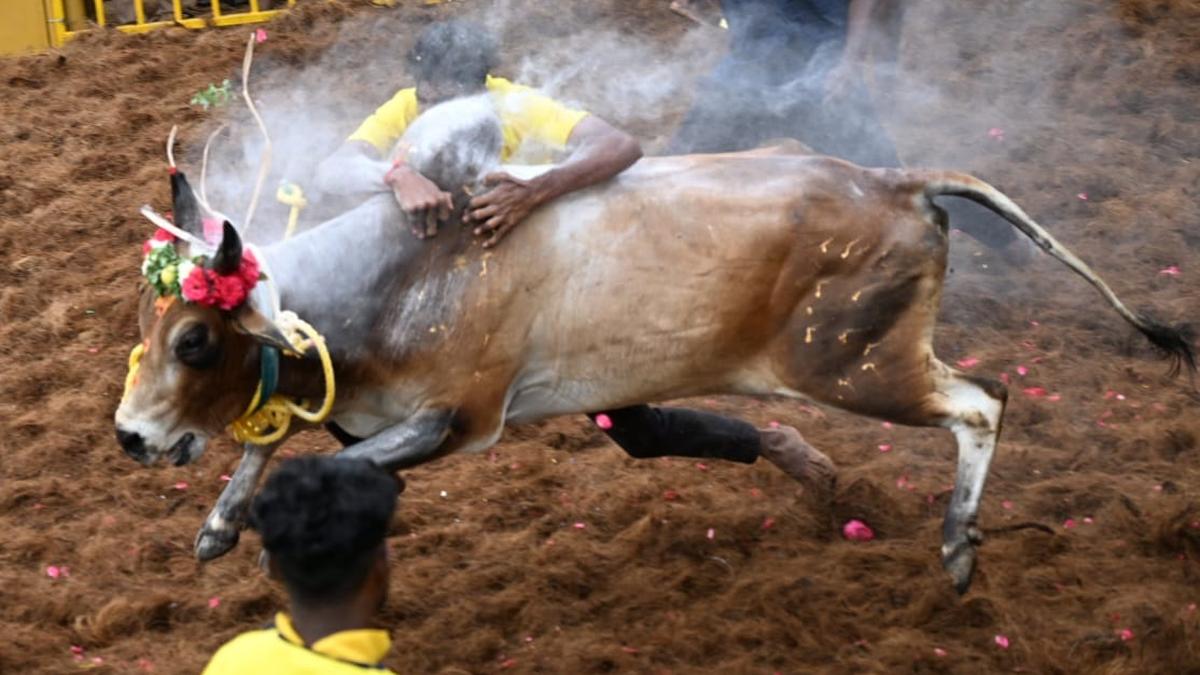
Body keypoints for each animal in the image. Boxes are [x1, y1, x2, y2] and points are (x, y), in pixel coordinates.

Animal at [110, 102, 1190, 590]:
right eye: (145, 330)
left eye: (196, 338)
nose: (128, 437)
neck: (400, 276)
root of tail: (894, 182)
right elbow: (269, 441)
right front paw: (217, 523)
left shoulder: (458, 418)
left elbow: (321, 463)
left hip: (856, 365)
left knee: (984, 400)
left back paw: (960, 545)